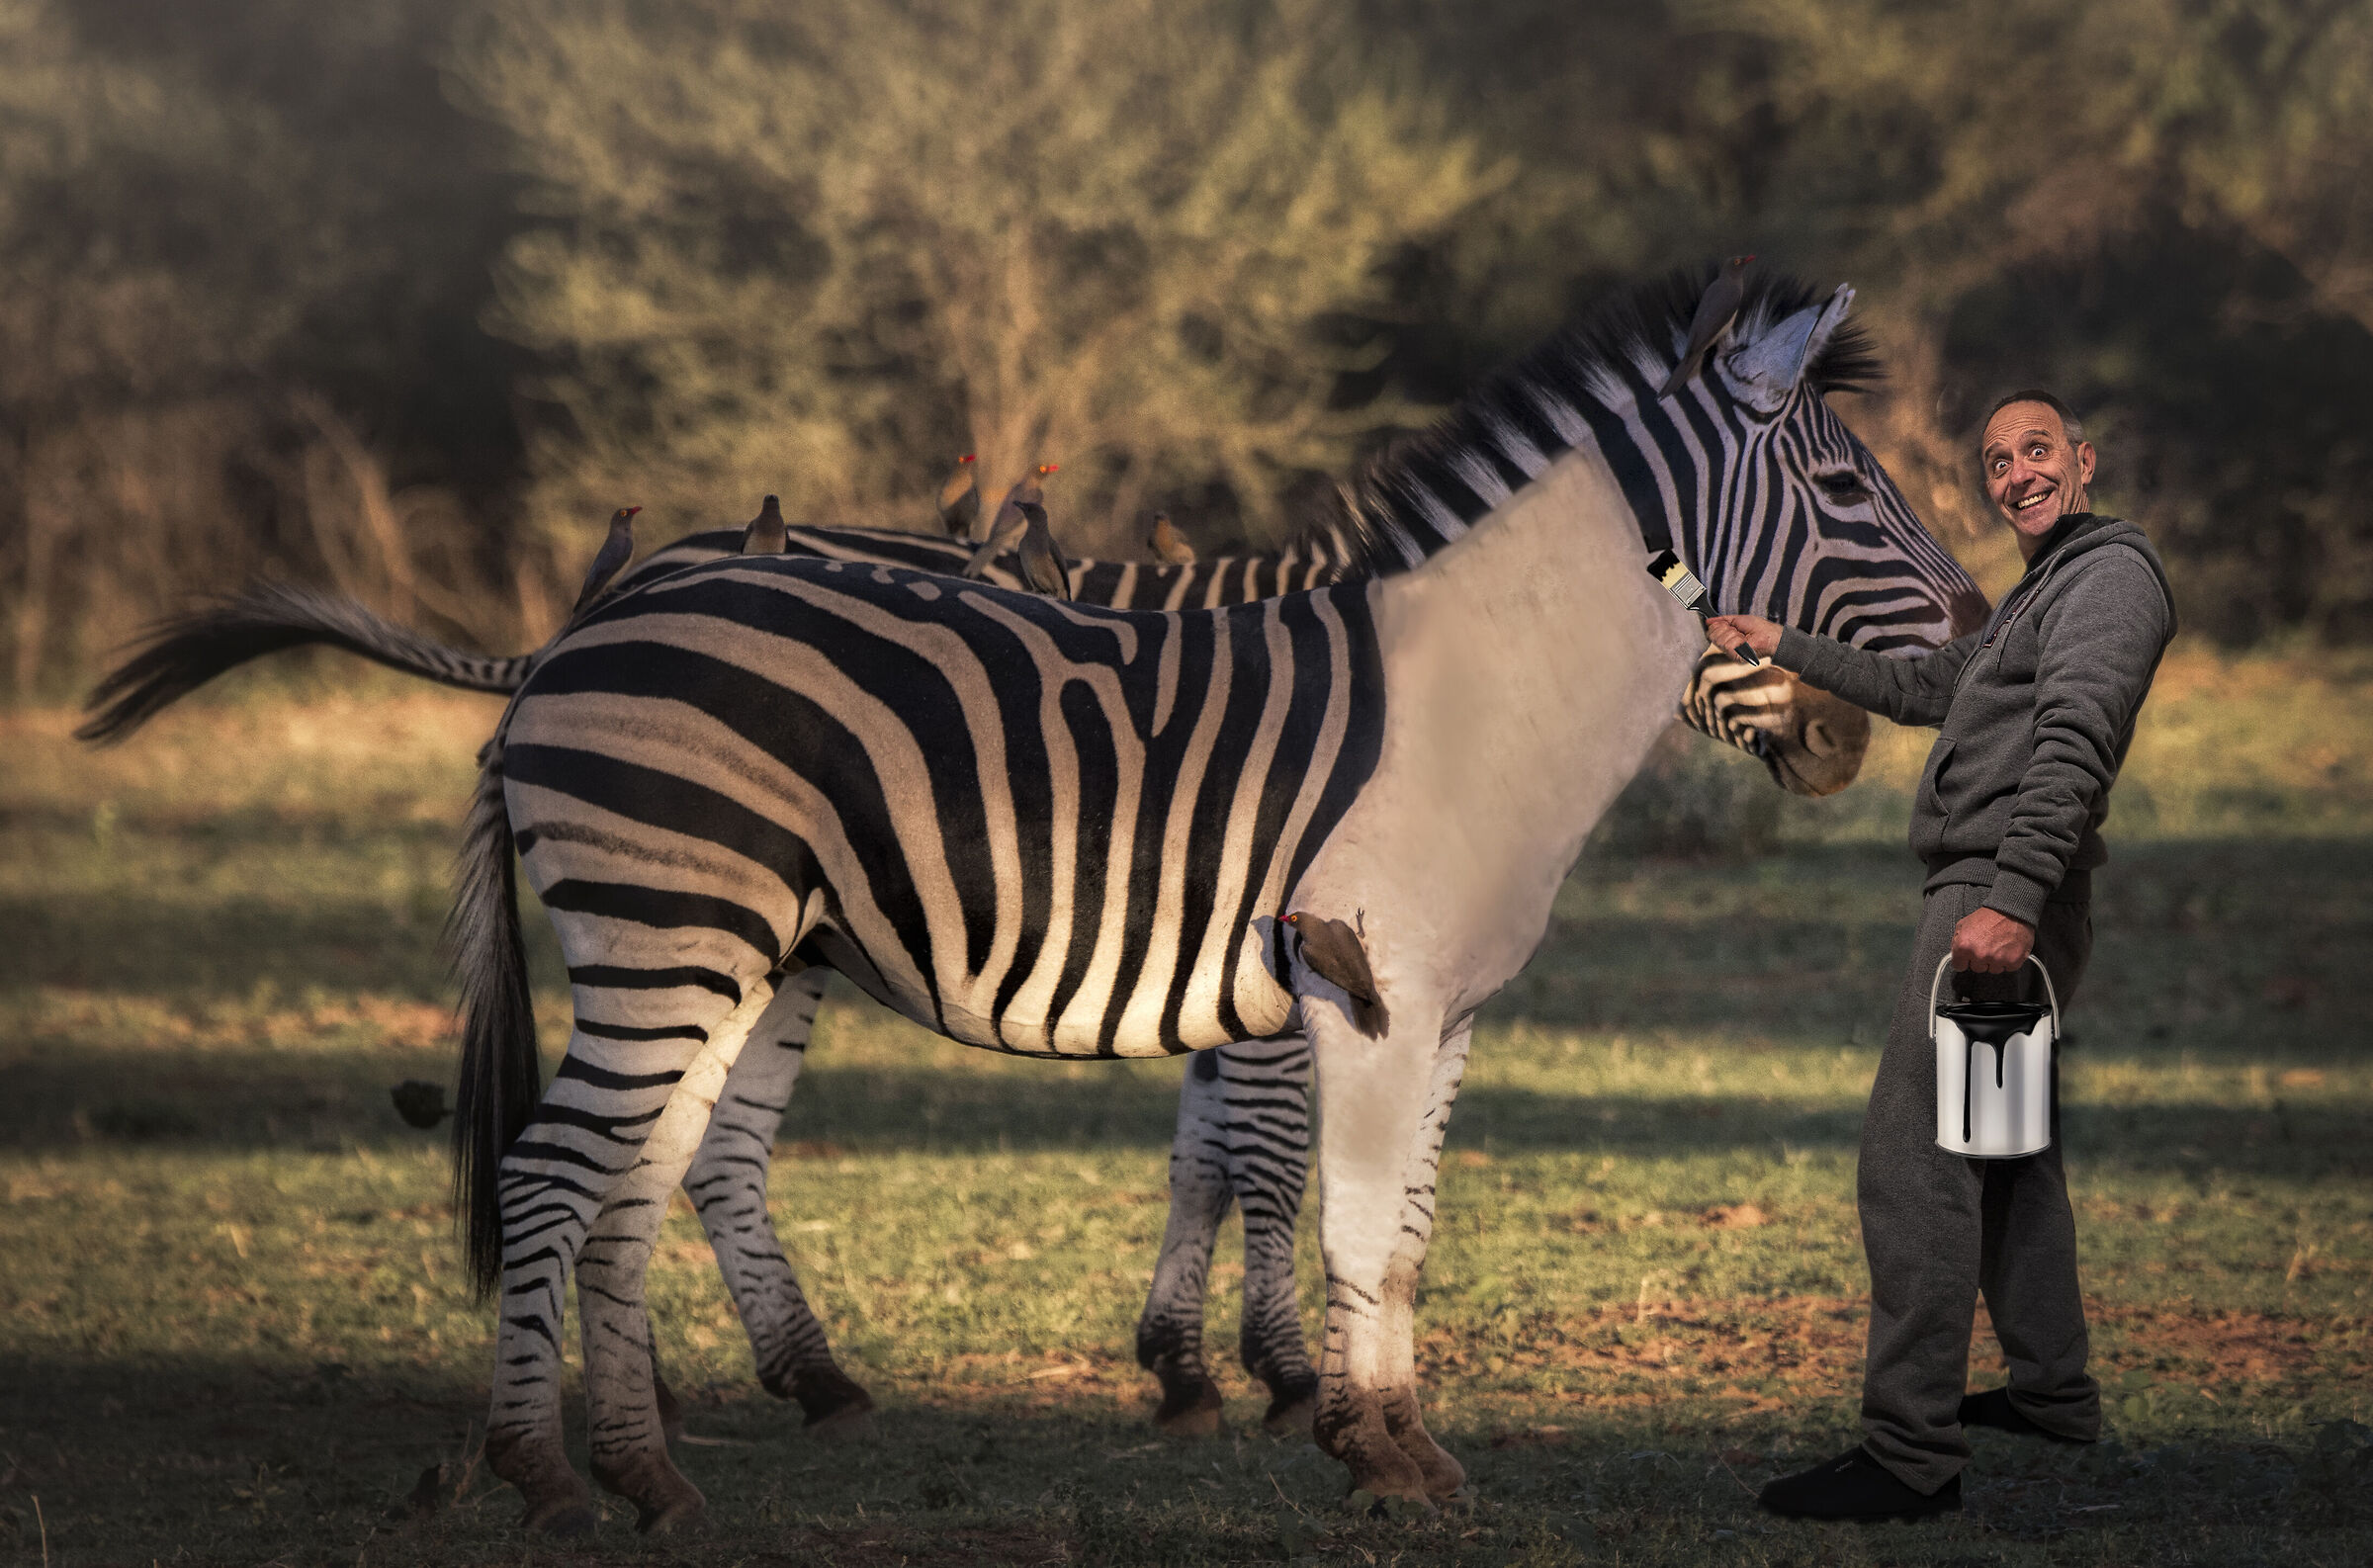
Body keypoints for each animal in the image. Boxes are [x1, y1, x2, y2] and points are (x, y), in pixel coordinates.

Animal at [445, 267, 1982, 1531]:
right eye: (1852, 495)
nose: (1971, 635)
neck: (1482, 695)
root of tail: (579, 633)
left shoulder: (1446, 1011)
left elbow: (1402, 1233)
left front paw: (1403, 1441)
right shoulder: (1358, 984)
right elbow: (1330, 1205)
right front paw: (1358, 1442)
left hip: (730, 955)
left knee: (634, 1186)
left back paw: (650, 1473)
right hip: (665, 940)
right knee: (547, 1172)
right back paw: (544, 1473)